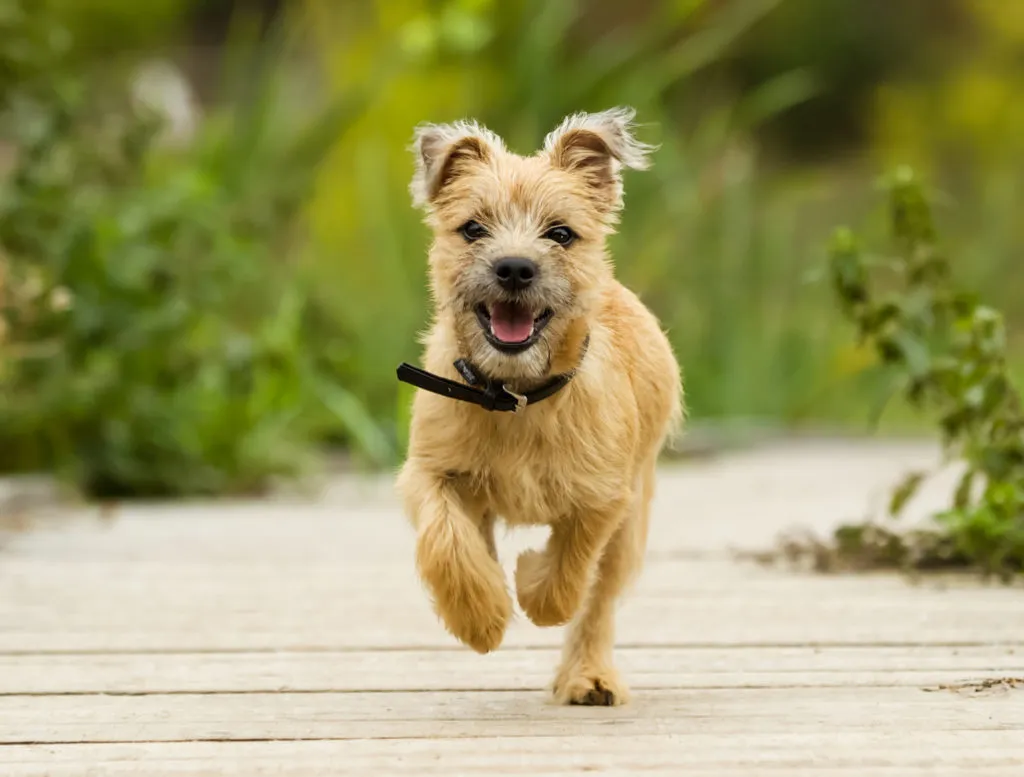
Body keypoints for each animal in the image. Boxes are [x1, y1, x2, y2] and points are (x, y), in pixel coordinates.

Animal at [395, 106, 684, 708]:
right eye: (473, 229)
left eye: (561, 234)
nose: (514, 268)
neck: (514, 398)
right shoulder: (429, 474)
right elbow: (448, 545)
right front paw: (480, 617)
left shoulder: (604, 499)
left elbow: (570, 575)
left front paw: (531, 585)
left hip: (633, 522)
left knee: (598, 602)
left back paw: (589, 676)